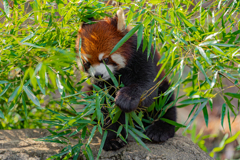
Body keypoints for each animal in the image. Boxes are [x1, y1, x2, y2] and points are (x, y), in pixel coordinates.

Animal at [76, 8, 177, 151]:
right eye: (87, 64)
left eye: (105, 59)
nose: (98, 75)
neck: (118, 73)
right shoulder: (101, 87)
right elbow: (105, 108)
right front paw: (113, 138)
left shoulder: (144, 55)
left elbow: (146, 87)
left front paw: (126, 99)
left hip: (163, 90)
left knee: (165, 102)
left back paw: (160, 130)